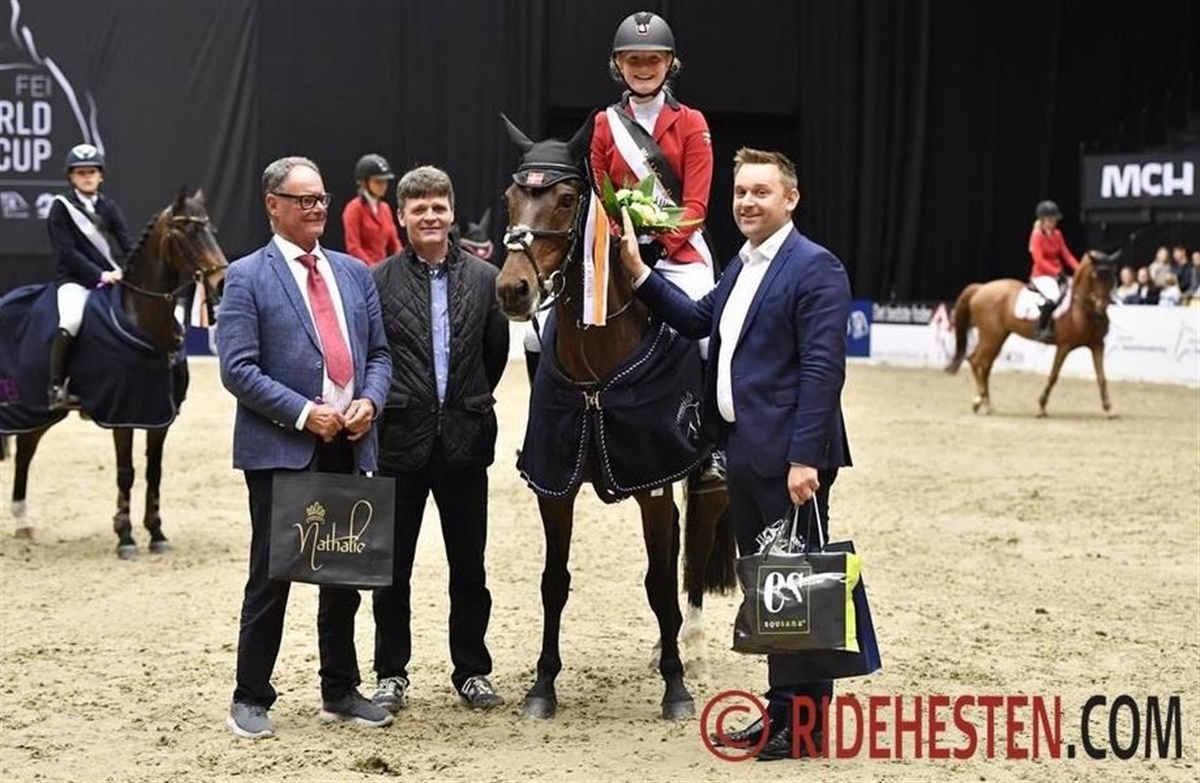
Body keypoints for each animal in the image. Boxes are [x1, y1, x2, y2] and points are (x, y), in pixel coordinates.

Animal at [0, 189, 227, 557]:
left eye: (210, 229)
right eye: (186, 232)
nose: (221, 282)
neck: (145, 323)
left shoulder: (158, 415)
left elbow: (154, 472)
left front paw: (157, 534)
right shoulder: (123, 411)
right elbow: (126, 472)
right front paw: (125, 537)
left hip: (37, 409)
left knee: (25, 450)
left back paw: (23, 522)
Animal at [494, 115, 735, 721]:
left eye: (565, 199)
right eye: (510, 197)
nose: (513, 290)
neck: (596, 374)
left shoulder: (652, 482)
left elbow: (659, 581)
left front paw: (676, 688)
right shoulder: (554, 487)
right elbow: (553, 582)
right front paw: (542, 686)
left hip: (698, 477)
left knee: (694, 551)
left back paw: (692, 648)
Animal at [945, 251, 1118, 417]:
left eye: (1112, 277)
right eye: (1095, 276)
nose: (1102, 308)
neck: (1082, 309)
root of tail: (980, 288)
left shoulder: (1097, 345)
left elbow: (1101, 377)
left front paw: (1108, 409)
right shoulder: (1064, 346)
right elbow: (1053, 376)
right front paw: (1041, 407)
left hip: (995, 336)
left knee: (982, 363)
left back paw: (981, 402)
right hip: (992, 336)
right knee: (979, 362)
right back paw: (983, 402)